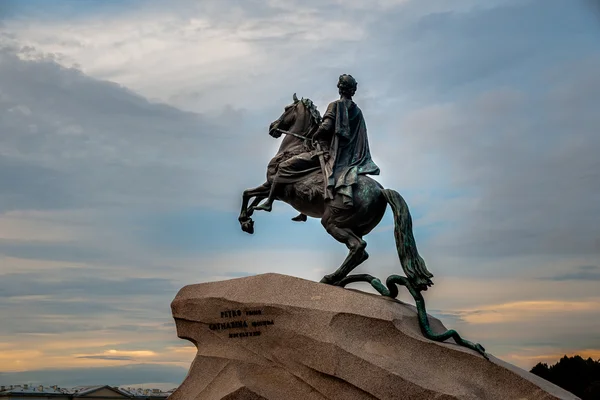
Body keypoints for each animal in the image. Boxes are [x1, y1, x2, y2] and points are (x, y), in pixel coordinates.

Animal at [237, 94, 434, 290]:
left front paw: (251, 216)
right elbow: (252, 197)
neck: (294, 148)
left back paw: (329, 278)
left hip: (332, 221)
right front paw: (248, 221)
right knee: (361, 252)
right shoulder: (272, 187)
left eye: (286, 109)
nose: (273, 127)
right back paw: (335, 279)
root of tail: (380, 190)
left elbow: (249, 194)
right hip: (354, 226)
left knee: (358, 247)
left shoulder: (274, 183)